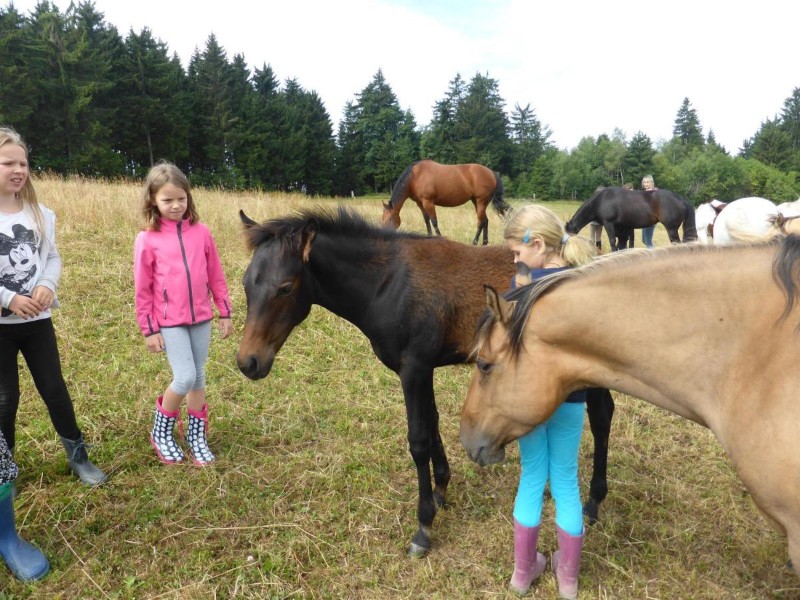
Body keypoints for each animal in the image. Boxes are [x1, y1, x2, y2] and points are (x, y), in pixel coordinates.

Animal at [234, 209, 616, 556]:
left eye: (285, 288)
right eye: (245, 282)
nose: (249, 362)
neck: (388, 284)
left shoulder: (414, 367)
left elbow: (418, 440)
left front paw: (423, 526)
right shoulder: (424, 368)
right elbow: (432, 426)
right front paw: (441, 491)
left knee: (601, 417)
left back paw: (594, 502)